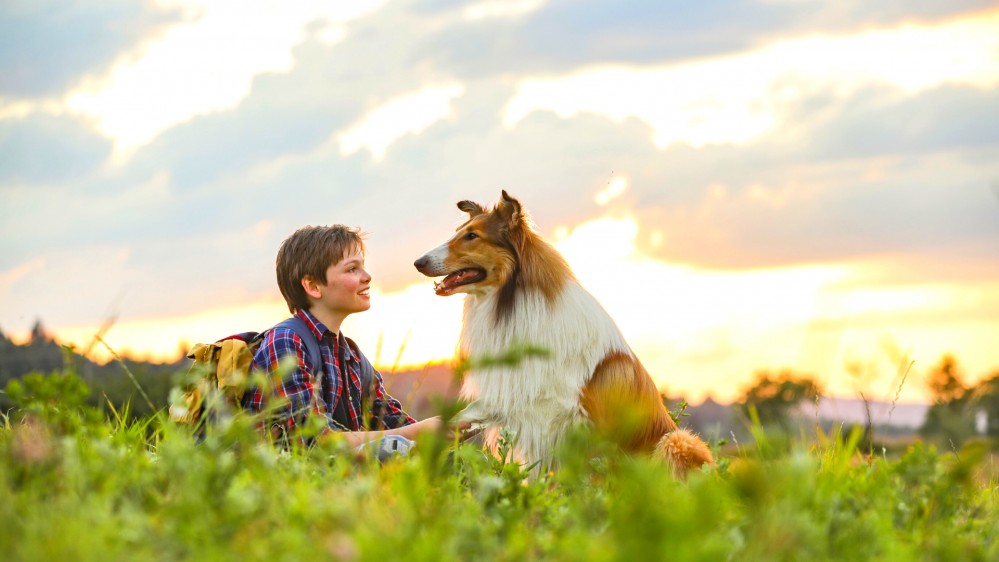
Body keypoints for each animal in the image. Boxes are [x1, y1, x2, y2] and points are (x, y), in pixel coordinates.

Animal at [416, 190, 720, 474]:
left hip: (676, 440)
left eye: (472, 236)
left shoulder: (567, 421)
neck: (512, 301)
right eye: (460, 232)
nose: (418, 262)